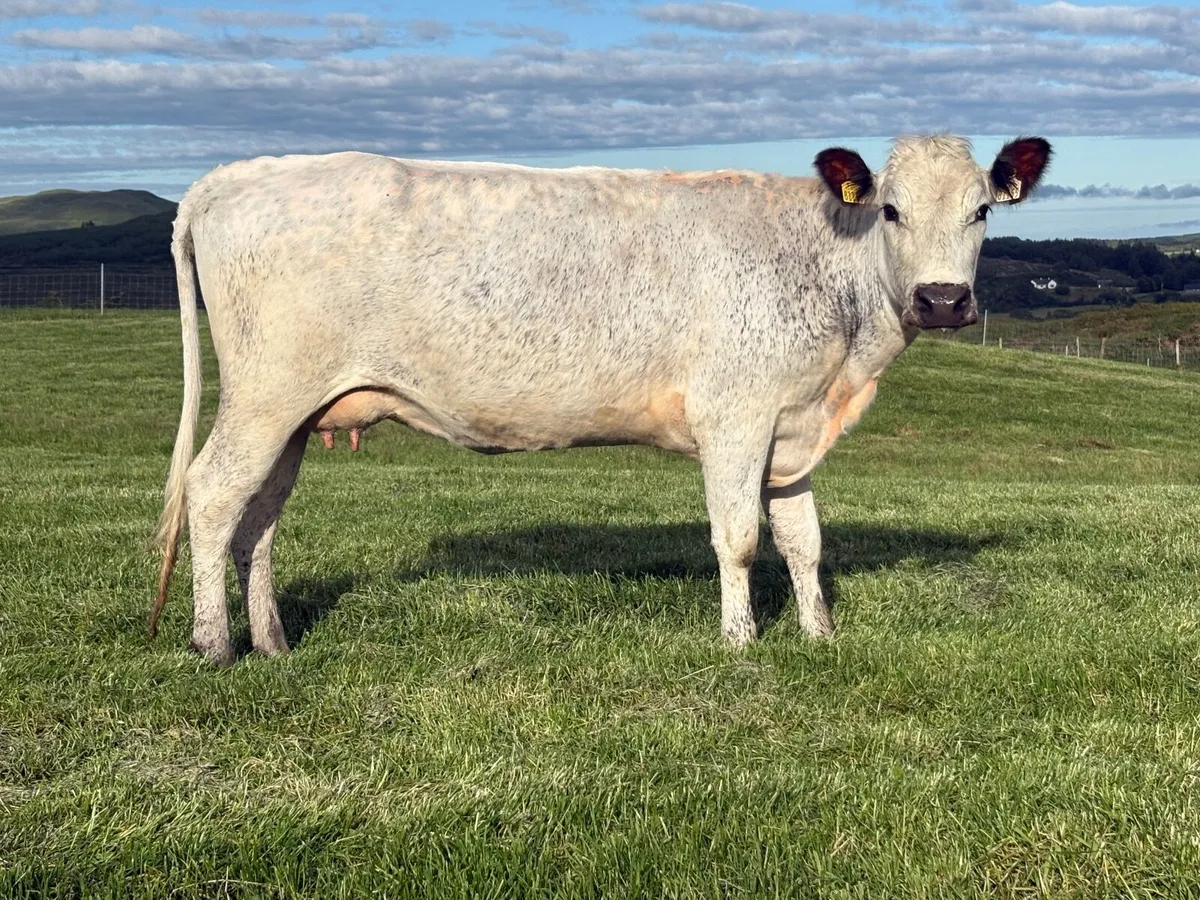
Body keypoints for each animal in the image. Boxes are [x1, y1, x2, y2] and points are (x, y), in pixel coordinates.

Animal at [151, 134, 1051, 666]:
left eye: (981, 211)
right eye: (892, 209)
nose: (943, 300)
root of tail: (239, 173)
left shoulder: (793, 428)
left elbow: (804, 541)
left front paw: (819, 633)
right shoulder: (736, 415)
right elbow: (739, 540)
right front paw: (739, 642)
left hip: (297, 414)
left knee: (260, 518)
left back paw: (272, 642)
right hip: (267, 394)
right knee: (215, 493)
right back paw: (212, 644)